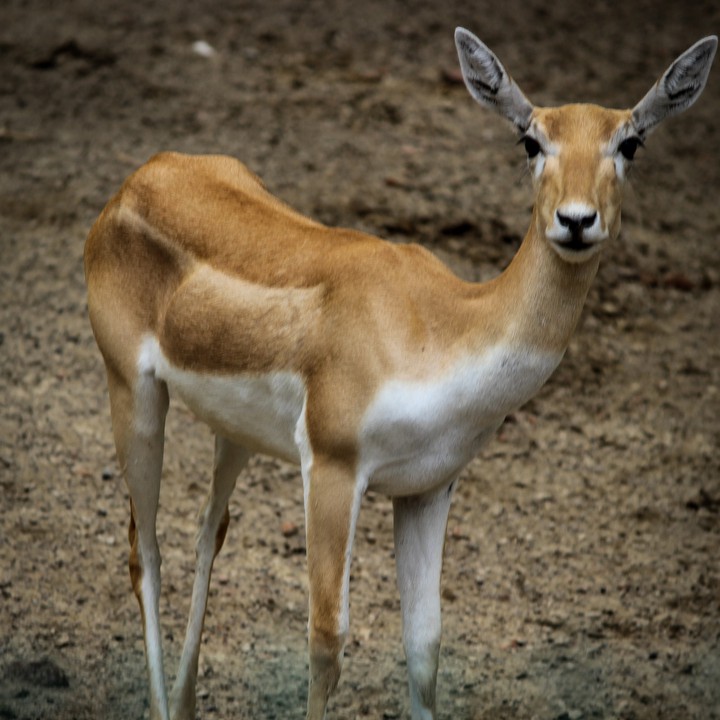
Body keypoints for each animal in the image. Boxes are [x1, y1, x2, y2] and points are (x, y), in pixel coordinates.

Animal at [84, 27, 716, 720]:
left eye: (630, 142)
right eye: (531, 139)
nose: (576, 220)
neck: (443, 327)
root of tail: (136, 181)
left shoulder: (427, 487)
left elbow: (425, 646)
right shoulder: (333, 466)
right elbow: (327, 639)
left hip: (235, 433)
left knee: (208, 532)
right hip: (133, 393)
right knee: (145, 553)